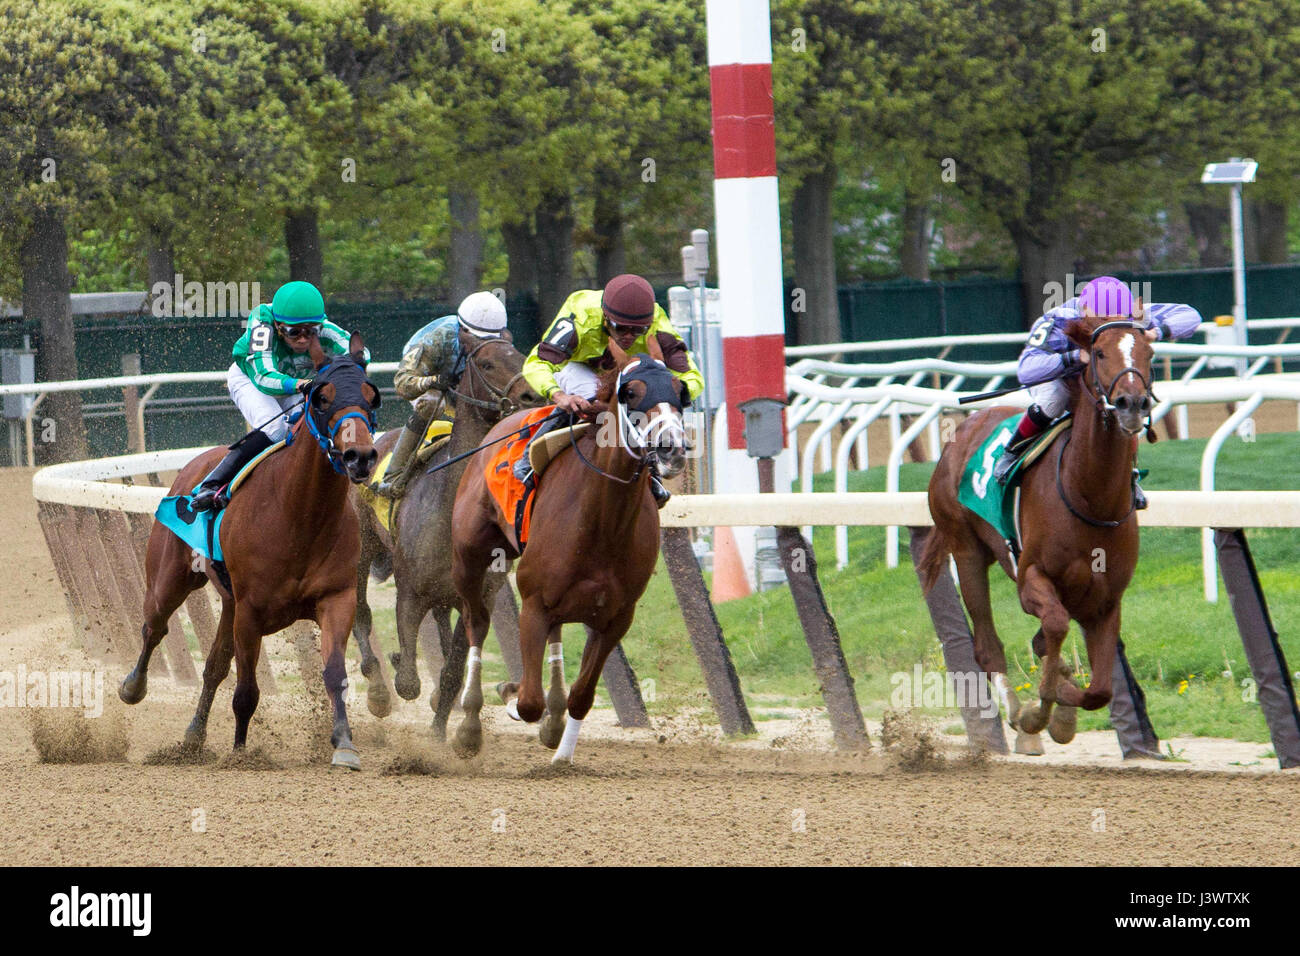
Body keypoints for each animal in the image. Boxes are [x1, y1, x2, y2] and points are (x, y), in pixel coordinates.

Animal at [117, 335, 382, 770]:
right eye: (321, 398)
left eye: (371, 396)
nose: (359, 456)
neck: (300, 512)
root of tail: (193, 466)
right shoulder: (252, 609)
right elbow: (246, 691)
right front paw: (241, 754)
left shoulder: (335, 598)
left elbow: (334, 674)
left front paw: (344, 743)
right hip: (170, 580)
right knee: (154, 627)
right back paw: (132, 687)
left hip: (229, 603)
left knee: (213, 666)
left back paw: (193, 736)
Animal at [348, 330, 540, 738]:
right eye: (486, 363)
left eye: (519, 355)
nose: (532, 395)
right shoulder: (409, 591)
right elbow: (407, 679)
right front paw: (397, 666)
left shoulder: (477, 596)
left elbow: (452, 670)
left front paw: (447, 736)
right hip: (362, 547)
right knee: (362, 614)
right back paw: (377, 691)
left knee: (439, 620)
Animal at [449, 340, 691, 764]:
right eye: (631, 392)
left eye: (681, 391)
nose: (671, 448)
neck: (603, 521)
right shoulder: (534, 604)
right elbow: (528, 701)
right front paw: (512, 696)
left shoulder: (615, 617)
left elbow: (582, 696)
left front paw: (561, 751)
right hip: (470, 556)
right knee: (476, 622)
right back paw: (469, 727)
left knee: (555, 635)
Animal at [920, 314, 1154, 749]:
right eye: (1098, 353)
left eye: (1149, 353)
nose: (1132, 403)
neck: (1089, 496)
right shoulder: (1031, 579)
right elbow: (1056, 625)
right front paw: (1040, 712)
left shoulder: (1106, 600)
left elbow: (1099, 690)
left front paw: (1063, 708)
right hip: (965, 548)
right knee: (988, 645)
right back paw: (1018, 718)